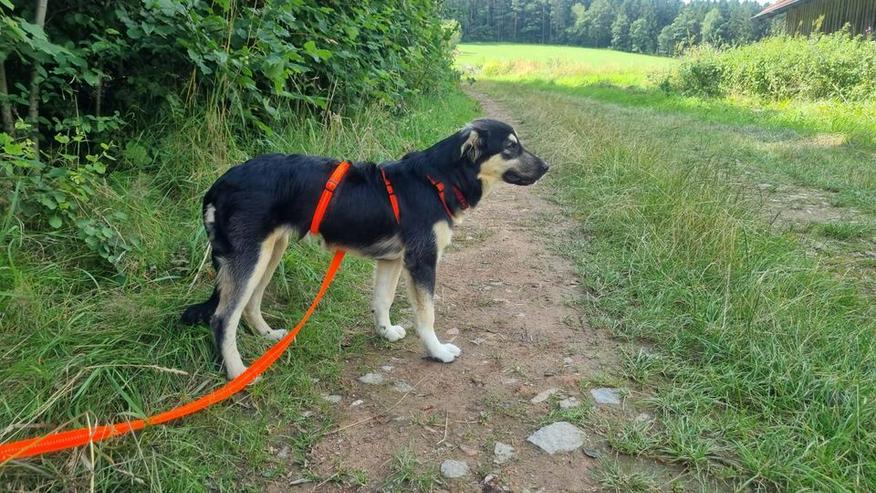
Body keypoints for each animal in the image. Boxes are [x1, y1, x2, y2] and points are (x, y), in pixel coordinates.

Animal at [180, 118, 548, 376]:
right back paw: (238, 374)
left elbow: (382, 301)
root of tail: (220, 184)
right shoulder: (422, 261)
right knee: (223, 319)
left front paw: (385, 333)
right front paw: (438, 351)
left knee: (250, 304)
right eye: (511, 147)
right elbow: (426, 315)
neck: (437, 181)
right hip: (251, 257)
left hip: (269, 252)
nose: (547, 167)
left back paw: (268, 336)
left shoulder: (391, 261)